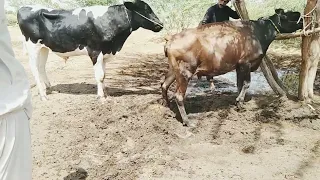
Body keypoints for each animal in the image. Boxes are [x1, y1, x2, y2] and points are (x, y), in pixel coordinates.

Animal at [17, 0, 162, 100]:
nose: (160, 24)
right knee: (34, 69)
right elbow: (99, 76)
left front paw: (106, 93)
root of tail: (24, 7)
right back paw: (43, 95)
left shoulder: (105, 51)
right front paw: (101, 97)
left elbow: (104, 75)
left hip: (44, 48)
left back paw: (49, 88)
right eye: (145, 9)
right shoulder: (95, 51)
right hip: (32, 46)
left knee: (41, 66)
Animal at [162, 9, 302, 127]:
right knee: (178, 96)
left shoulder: (239, 66)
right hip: (185, 72)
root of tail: (171, 39)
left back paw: (167, 108)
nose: (302, 17)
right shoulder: (246, 63)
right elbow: (247, 83)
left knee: (164, 85)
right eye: (289, 15)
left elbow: (240, 84)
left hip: (174, 70)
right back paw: (187, 121)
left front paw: (240, 103)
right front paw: (239, 101)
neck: (258, 32)